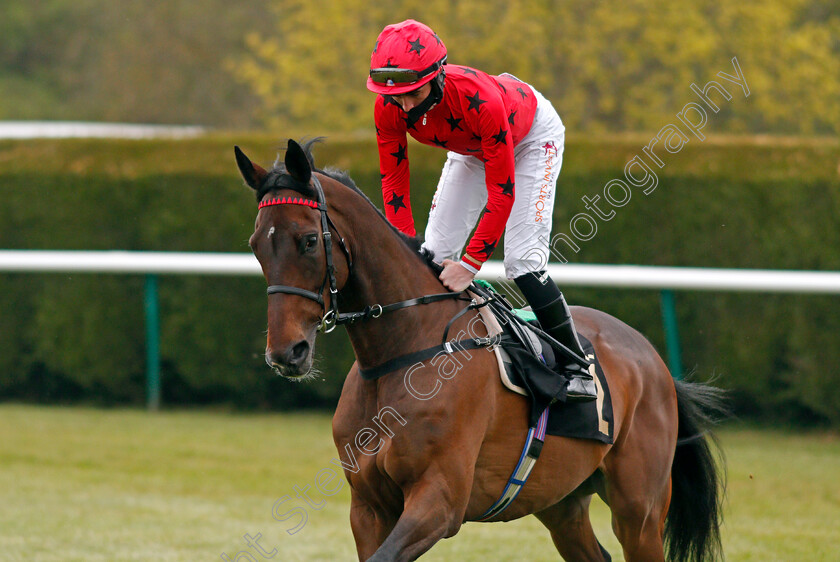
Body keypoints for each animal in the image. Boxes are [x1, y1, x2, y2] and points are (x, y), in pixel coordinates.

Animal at [233, 137, 724, 560]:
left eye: (307, 241)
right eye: (255, 245)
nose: (287, 352)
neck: (401, 354)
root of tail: (652, 359)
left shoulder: (439, 501)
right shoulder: (368, 508)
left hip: (639, 510)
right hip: (561, 501)